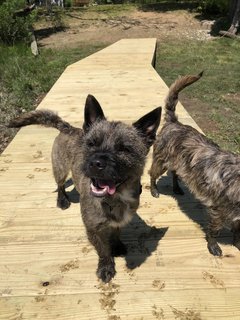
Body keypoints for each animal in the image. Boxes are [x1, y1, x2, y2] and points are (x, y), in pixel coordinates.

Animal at [8, 95, 161, 282]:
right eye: (91, 143)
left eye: (124, 149)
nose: (96, 163)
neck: (115, 199)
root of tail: (69, 128)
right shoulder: (93, 229)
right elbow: (103, 250)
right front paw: (106, 267)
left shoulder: (118, 223)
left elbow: (115, 233)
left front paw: (117, 246)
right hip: (60, 169)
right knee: (60, 185)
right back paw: (62, 200)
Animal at [149, 72, 240, 258]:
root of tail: (174, 122)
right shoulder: (219, 211)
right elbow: (215, 230)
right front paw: (213, 246)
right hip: (161, 161)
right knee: (152, 174)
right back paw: (154, 190)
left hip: (177, 164)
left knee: (175, 174)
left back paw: (177, 188)